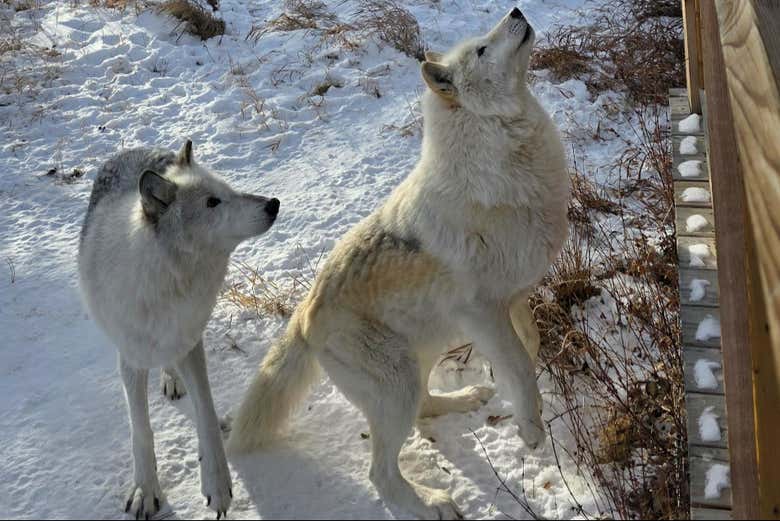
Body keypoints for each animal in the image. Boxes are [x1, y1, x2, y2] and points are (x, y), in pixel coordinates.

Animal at [78, 140, 279, 519]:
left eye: (229, 191)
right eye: (212, 202)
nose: (273, 203)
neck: (168, 282)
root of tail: (135, 149)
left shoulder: (189, 341)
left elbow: (207, 416)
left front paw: (217, 485)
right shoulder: (131, 359)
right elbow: (141, 431)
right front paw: (146, 491)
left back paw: (172, 378)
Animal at [229, 7, 569, 519]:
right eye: (482, 50)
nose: (515, 11)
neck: (500, 161)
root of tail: (304, 314)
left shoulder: (514, 297)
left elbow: (528, 349)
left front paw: (517, 398)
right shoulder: (482, 310)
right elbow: (521, 368)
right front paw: (530, 430)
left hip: (422, 355)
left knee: (426, 405)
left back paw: (468, 397)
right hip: (398, 385)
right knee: (381, 475)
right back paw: (431, 504)